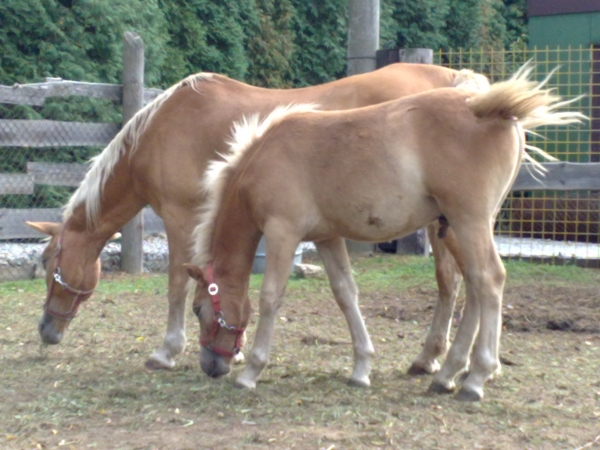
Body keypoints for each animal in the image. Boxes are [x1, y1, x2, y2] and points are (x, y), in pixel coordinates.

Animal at [25, 62, 488, 372]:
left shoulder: (181, 219)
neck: (158, 131)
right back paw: (437, 360)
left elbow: (177, 286)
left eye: (48, 262)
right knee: (456, 281)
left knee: (463, 281)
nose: (46, 330)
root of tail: (455, 81)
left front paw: (169, 351)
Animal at [184, 64, 582, 401]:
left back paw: (476, 376)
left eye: (197, 308)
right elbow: (346, 294)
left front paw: (251, 370)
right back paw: (449, 373)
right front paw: (361, 367)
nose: (211, 367)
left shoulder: (283, 232)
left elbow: (271, 296)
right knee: (473, 284)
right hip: (465, 226)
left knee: (489, 279)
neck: (264, 157)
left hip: (469, 221)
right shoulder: (327, 237)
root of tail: (489, 108)